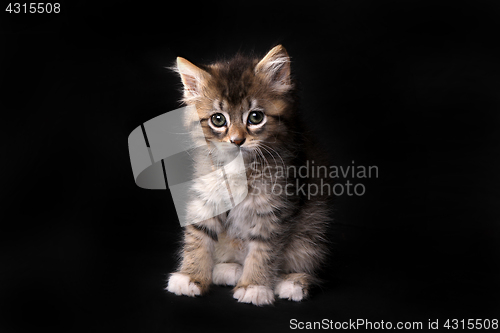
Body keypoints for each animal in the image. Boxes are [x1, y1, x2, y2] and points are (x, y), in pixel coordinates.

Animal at [166, 45, 334, 304]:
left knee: (308, 260)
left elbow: (264, 249)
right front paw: (190, 277)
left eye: (255, 117)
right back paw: (229, 269)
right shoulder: (207, 195)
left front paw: (254, 286)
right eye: (218, 119)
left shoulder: (275, 206)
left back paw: (293, 282)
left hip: (313, 227)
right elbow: (198, 234)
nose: (237, 140)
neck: (240, 168)